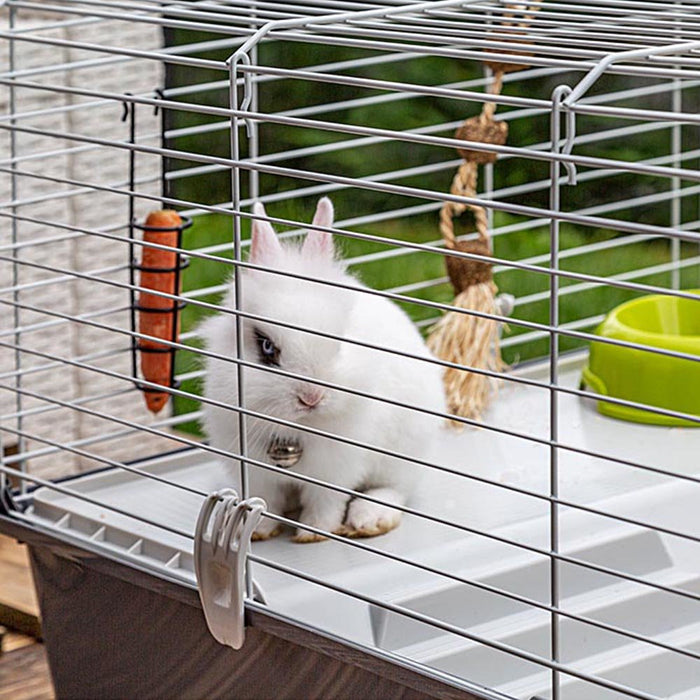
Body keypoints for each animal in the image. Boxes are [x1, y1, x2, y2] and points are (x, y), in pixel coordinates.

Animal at [200, 197, 446, 543]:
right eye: (266, 347)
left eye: (339, 342)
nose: (311, 398)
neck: (297, 429)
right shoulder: (254, 467)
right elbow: (266, 499)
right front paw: (257, 531)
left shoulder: (335, 467)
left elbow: (326, 501)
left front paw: (312, 533)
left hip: (404, 452)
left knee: (394, 489)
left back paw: (369, 518)